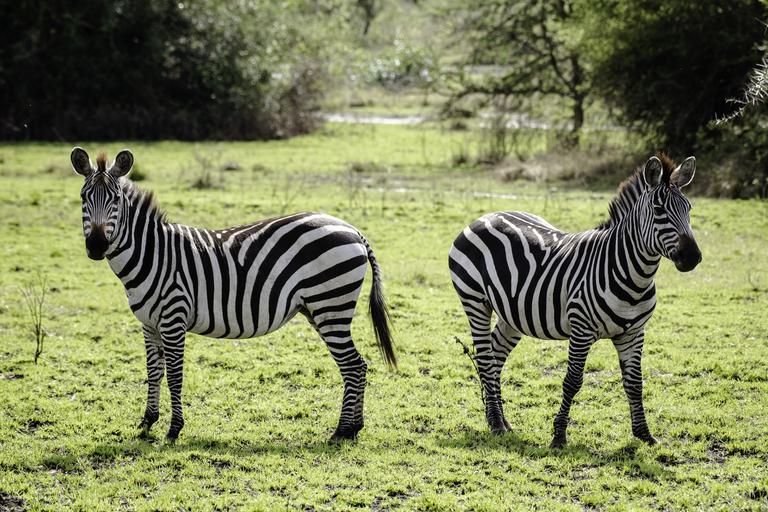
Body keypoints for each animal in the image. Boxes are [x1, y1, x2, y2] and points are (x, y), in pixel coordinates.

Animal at [71, 147, 396, 443]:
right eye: (84, 198)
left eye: (115, 200)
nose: (96, 246)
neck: (153, 253)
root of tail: (352, 229)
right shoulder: (149, 324)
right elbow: (154, 372)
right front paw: (147, 422)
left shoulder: (174, 318)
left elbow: (174, 375)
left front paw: (174, 429)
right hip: (319, 309)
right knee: (357, 365)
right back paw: (353, 428)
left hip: (331, 306)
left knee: (353, 365)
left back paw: (342, 431)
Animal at [449, 154, 701, 448]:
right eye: (659, 210)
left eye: (689, 208)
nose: (692, 257)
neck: (631, 273)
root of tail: (486, 215)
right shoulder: (581, 329)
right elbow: (573, 381)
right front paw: (559, 436)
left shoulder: (634, 333)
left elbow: (635, 383)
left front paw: (644, 434)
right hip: (475, 302)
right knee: (486, 358)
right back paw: (497, 423)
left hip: (512, 313)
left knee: (495, 355)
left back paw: (500, 420)